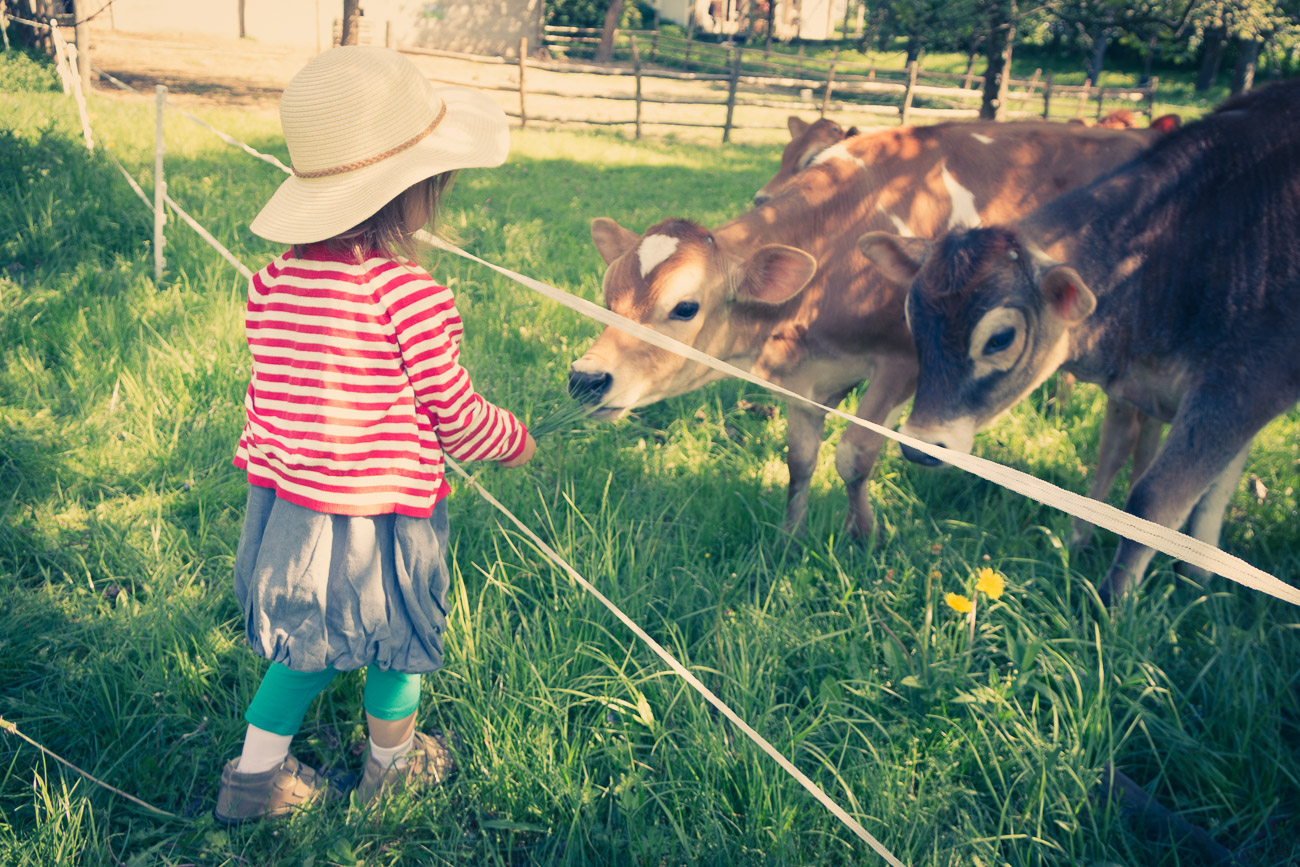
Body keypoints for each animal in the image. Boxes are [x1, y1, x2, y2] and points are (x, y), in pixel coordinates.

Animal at [572, 118, 1170, 538]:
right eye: (606, 293)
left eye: (685, 307)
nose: (585, 379)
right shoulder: (807, 376)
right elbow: (800, 459)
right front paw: (790, 538)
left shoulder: (901, 362)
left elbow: (855, 455)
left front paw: (863, 536)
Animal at [863, 77, 1300, 600]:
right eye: (913, 320)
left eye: (1000, 339)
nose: (916, 445)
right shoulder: (1147, 393)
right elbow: (1127, 465)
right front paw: (1103, 552)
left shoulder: (1243, 386)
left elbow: (1155, 499)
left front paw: (1113, 604)